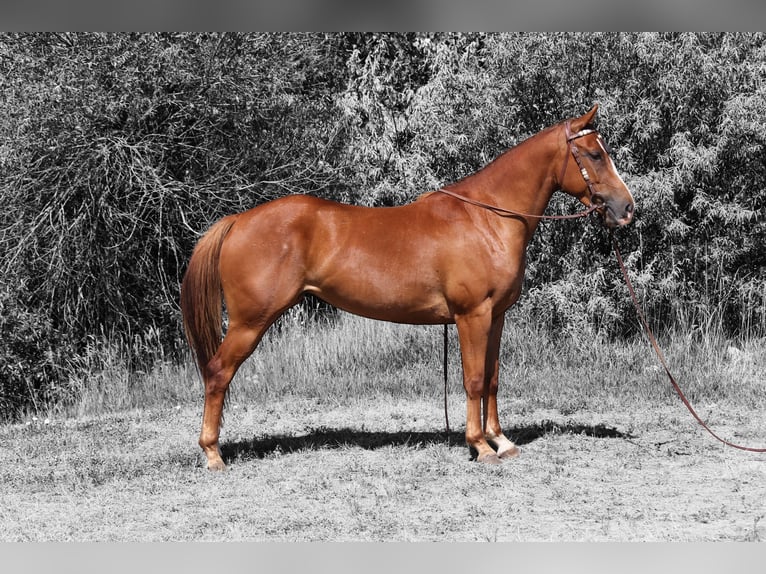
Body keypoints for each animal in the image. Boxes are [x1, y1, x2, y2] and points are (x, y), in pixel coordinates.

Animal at [181, 104, 635, 470]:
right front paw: (480, 446)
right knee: (218, 374)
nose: (627, 209)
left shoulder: (497, 316)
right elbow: (473, 380)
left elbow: (491, 379)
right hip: (250, 322)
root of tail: (238, 220)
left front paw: (501, 441)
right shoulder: (472, 315)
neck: (488, 218)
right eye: (595, 154)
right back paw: (213, 454)